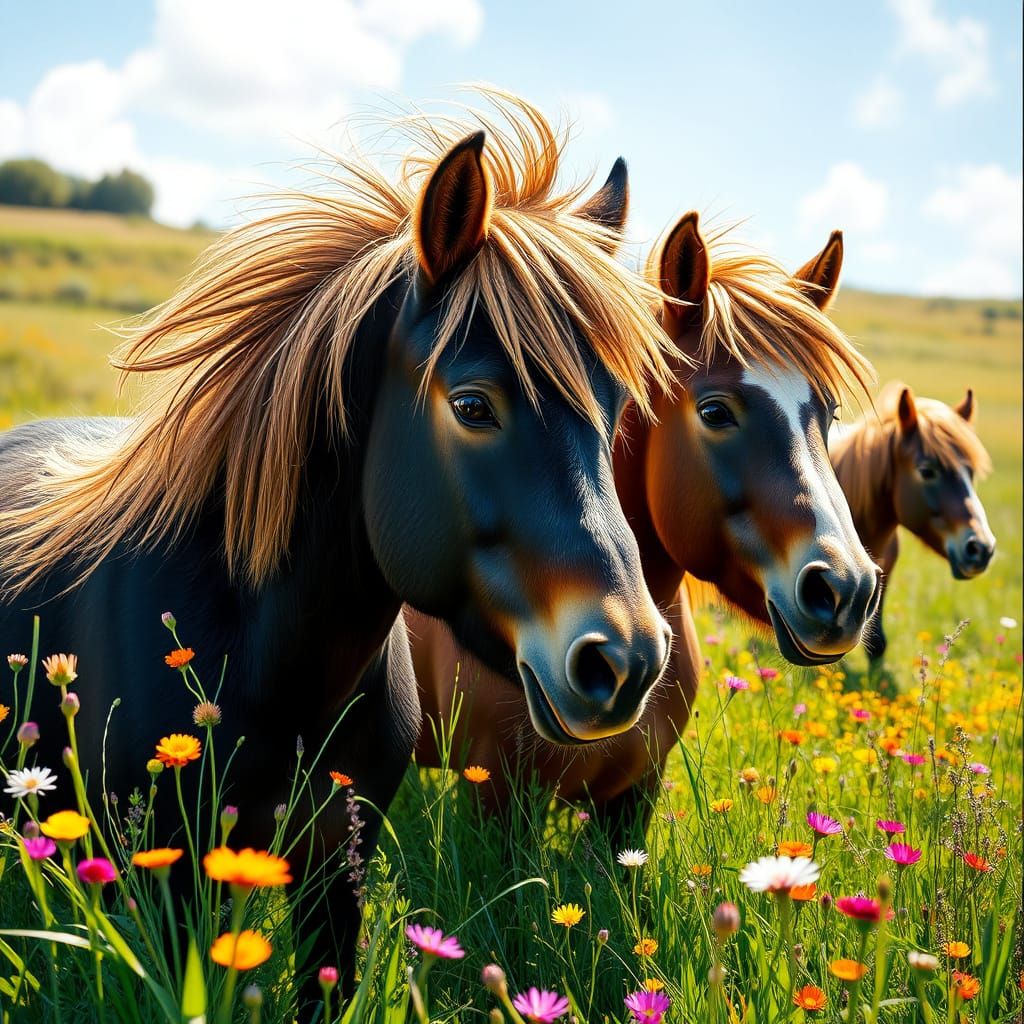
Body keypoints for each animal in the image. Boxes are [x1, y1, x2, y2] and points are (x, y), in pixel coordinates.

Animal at [0, 91, 676, 992]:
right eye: (472, 406)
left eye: (619, 410)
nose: (627, 661)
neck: (271, 666)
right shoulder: (165, 879)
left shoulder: (336, 867)